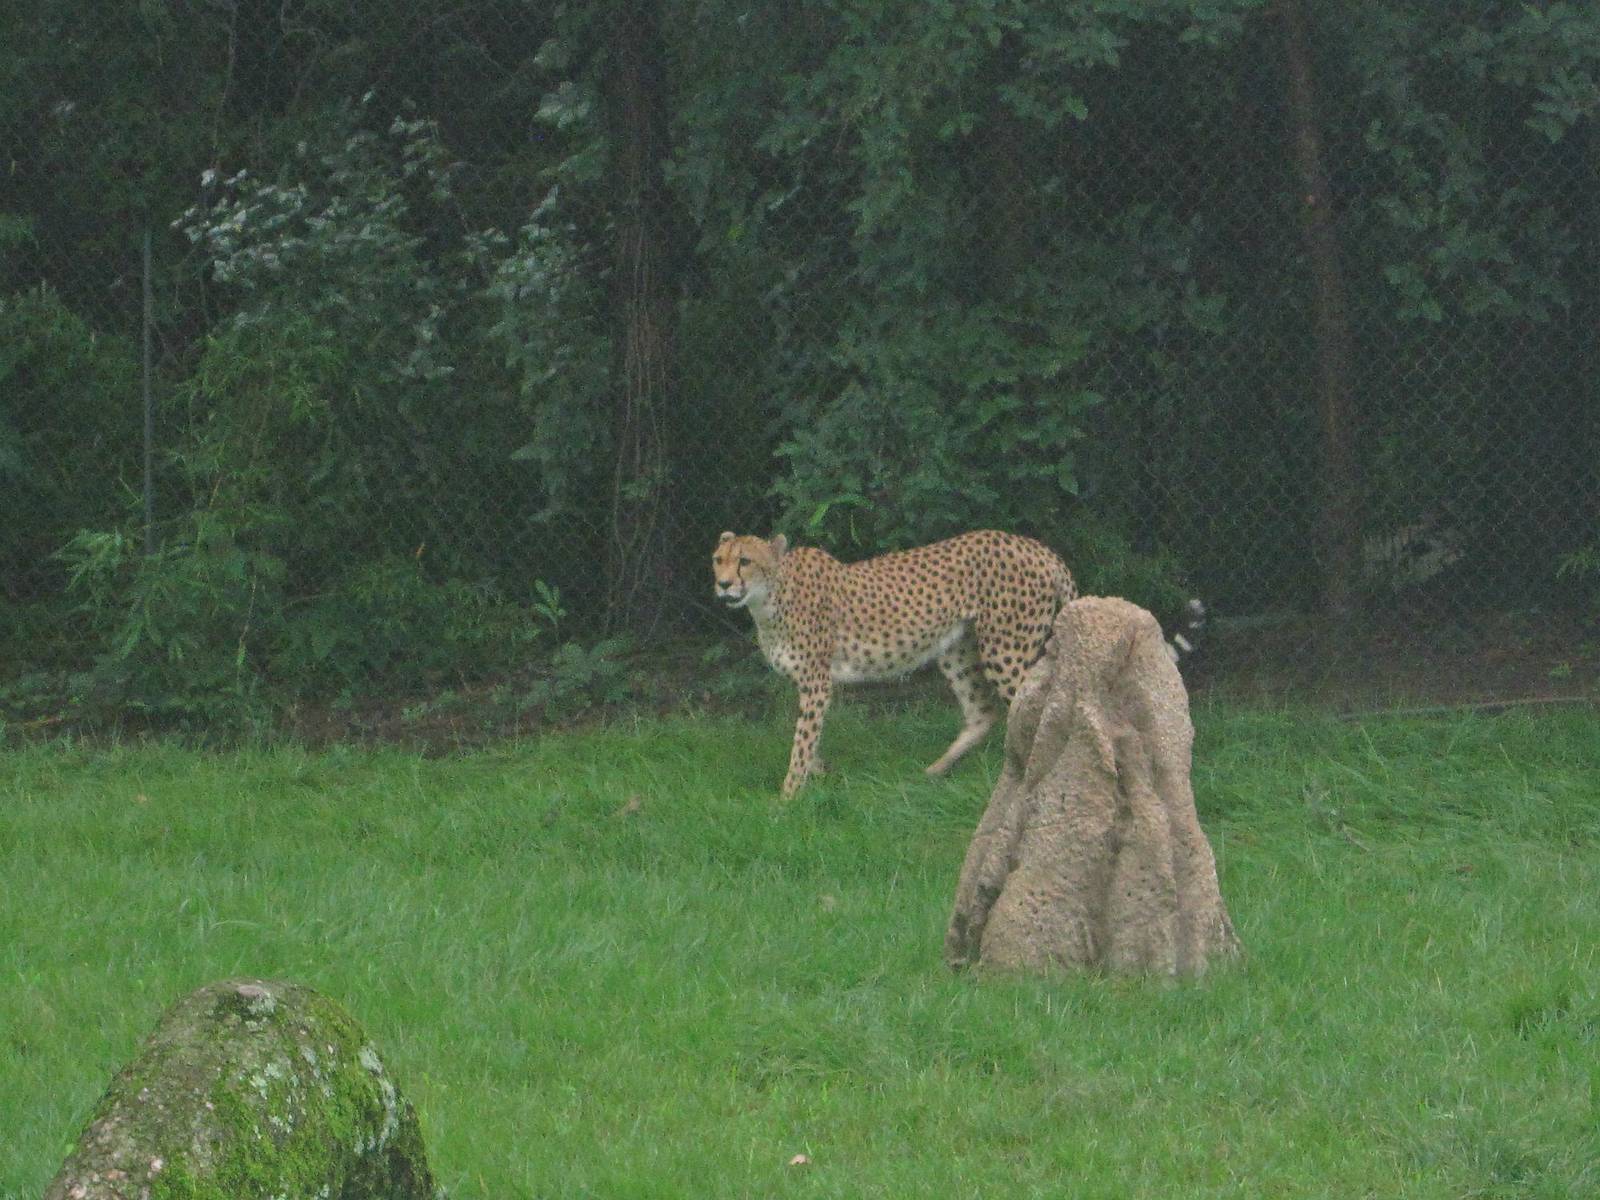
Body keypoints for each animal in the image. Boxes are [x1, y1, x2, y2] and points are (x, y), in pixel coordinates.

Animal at [713, 529, 1076, 798]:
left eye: (744, 561)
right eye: (718, 560)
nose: (723, 584)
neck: (769, 598)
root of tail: (1036, 547)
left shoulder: (817, 682)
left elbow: (802, 740)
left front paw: (787, 797)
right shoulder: (809, 684)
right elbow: (806, 735)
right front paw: (819, 770)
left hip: (1006, 651)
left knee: (1033, 710)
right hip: (956, 649)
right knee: (983, 713)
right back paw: (935, 771)